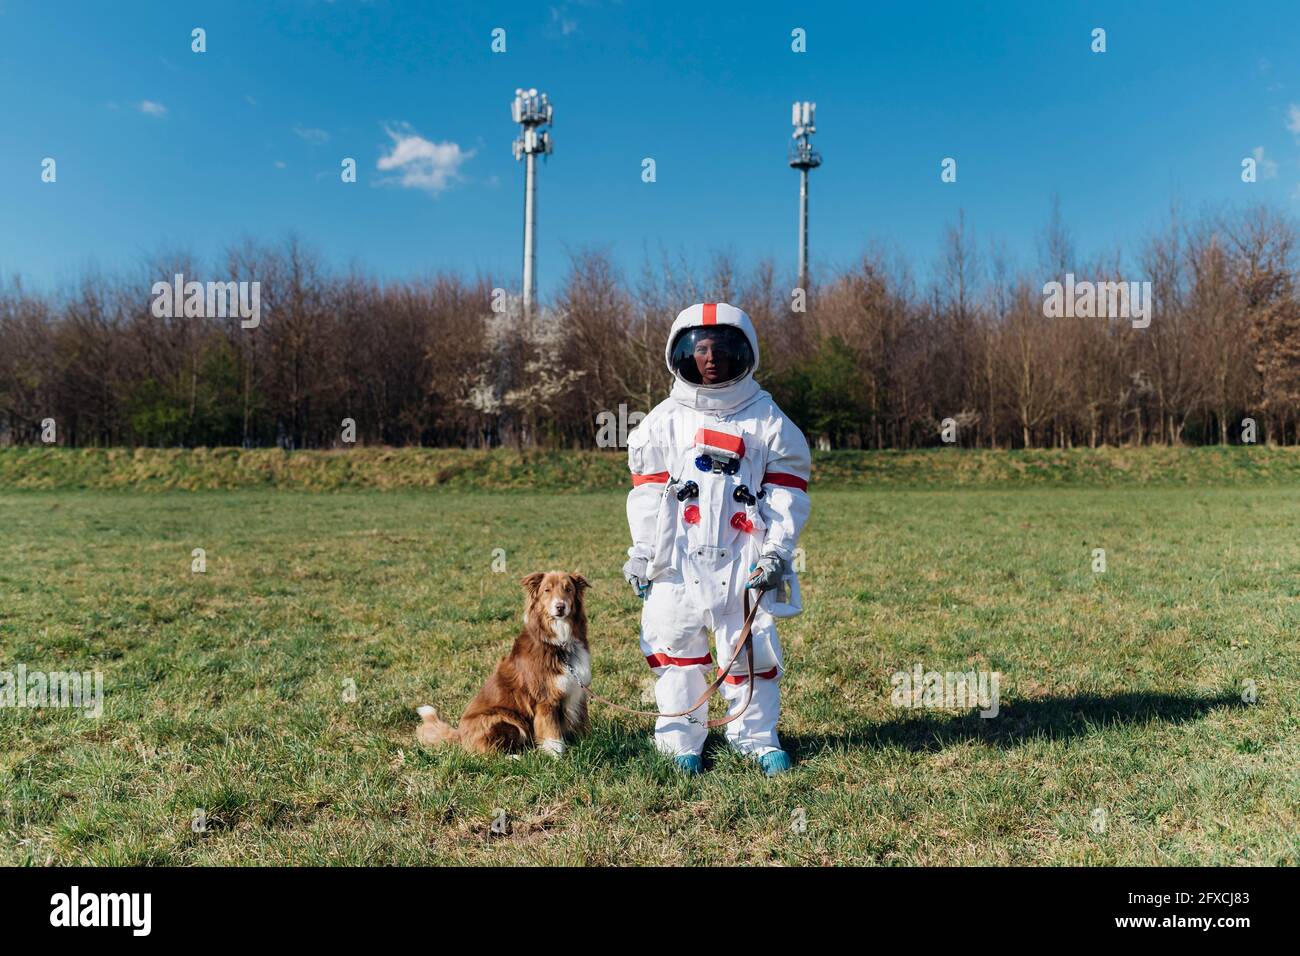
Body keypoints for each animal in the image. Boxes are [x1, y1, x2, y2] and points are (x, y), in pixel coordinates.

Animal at [416, 572, 595, 759]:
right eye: (547, 590)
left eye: (568, 589)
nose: (560, 606)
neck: (560, 644)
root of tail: (460, 735)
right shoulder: (546, 699)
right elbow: (552, 735)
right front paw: (557, 759)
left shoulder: (578, 691)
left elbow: (584, 724)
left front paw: (591, 743)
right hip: (503, 719)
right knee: (488, 754)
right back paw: (514, 758)